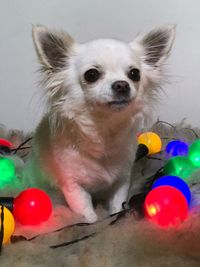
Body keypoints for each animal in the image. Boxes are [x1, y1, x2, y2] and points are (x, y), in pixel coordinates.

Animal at [31, 25, 175, 223]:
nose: (122, 85)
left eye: (134, 74)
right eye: (91, 75)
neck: (104, 130)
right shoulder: (73, 187)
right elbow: (88, 216)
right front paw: (91, 221)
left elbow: (117, 205)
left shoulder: (121, 180)